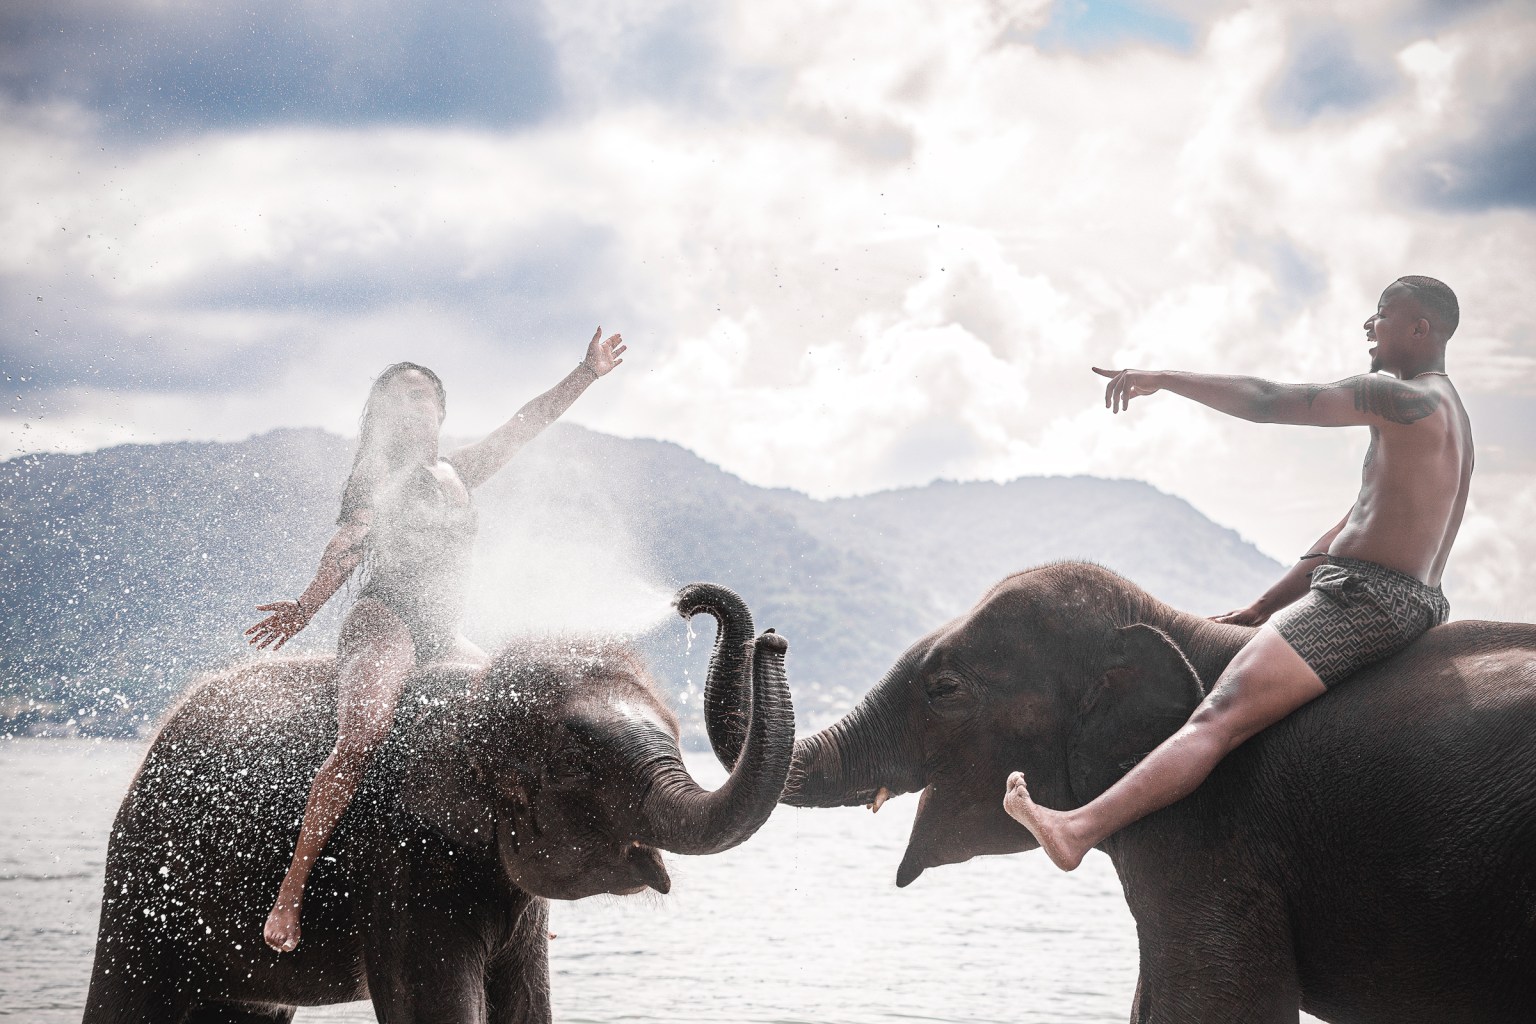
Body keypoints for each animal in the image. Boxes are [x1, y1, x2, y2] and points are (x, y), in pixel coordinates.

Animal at [82, 583, 791, 1024]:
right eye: (579, 768)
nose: (773, 639)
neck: (475, 700)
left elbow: (526, 1004)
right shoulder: (400, 861)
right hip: (142, 890)